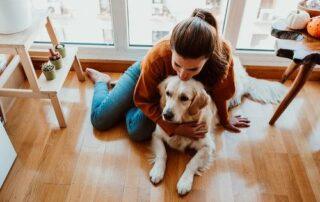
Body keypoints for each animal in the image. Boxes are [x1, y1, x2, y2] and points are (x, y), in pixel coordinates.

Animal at [149, 57, 286, 196]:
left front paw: (184, 182)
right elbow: (162, 154)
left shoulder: (207, 146)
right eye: (168, 93)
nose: (166, 115)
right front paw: (157, 171)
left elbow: (192, 163)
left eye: (184, 98)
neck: (182, 123)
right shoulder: (157, 135)